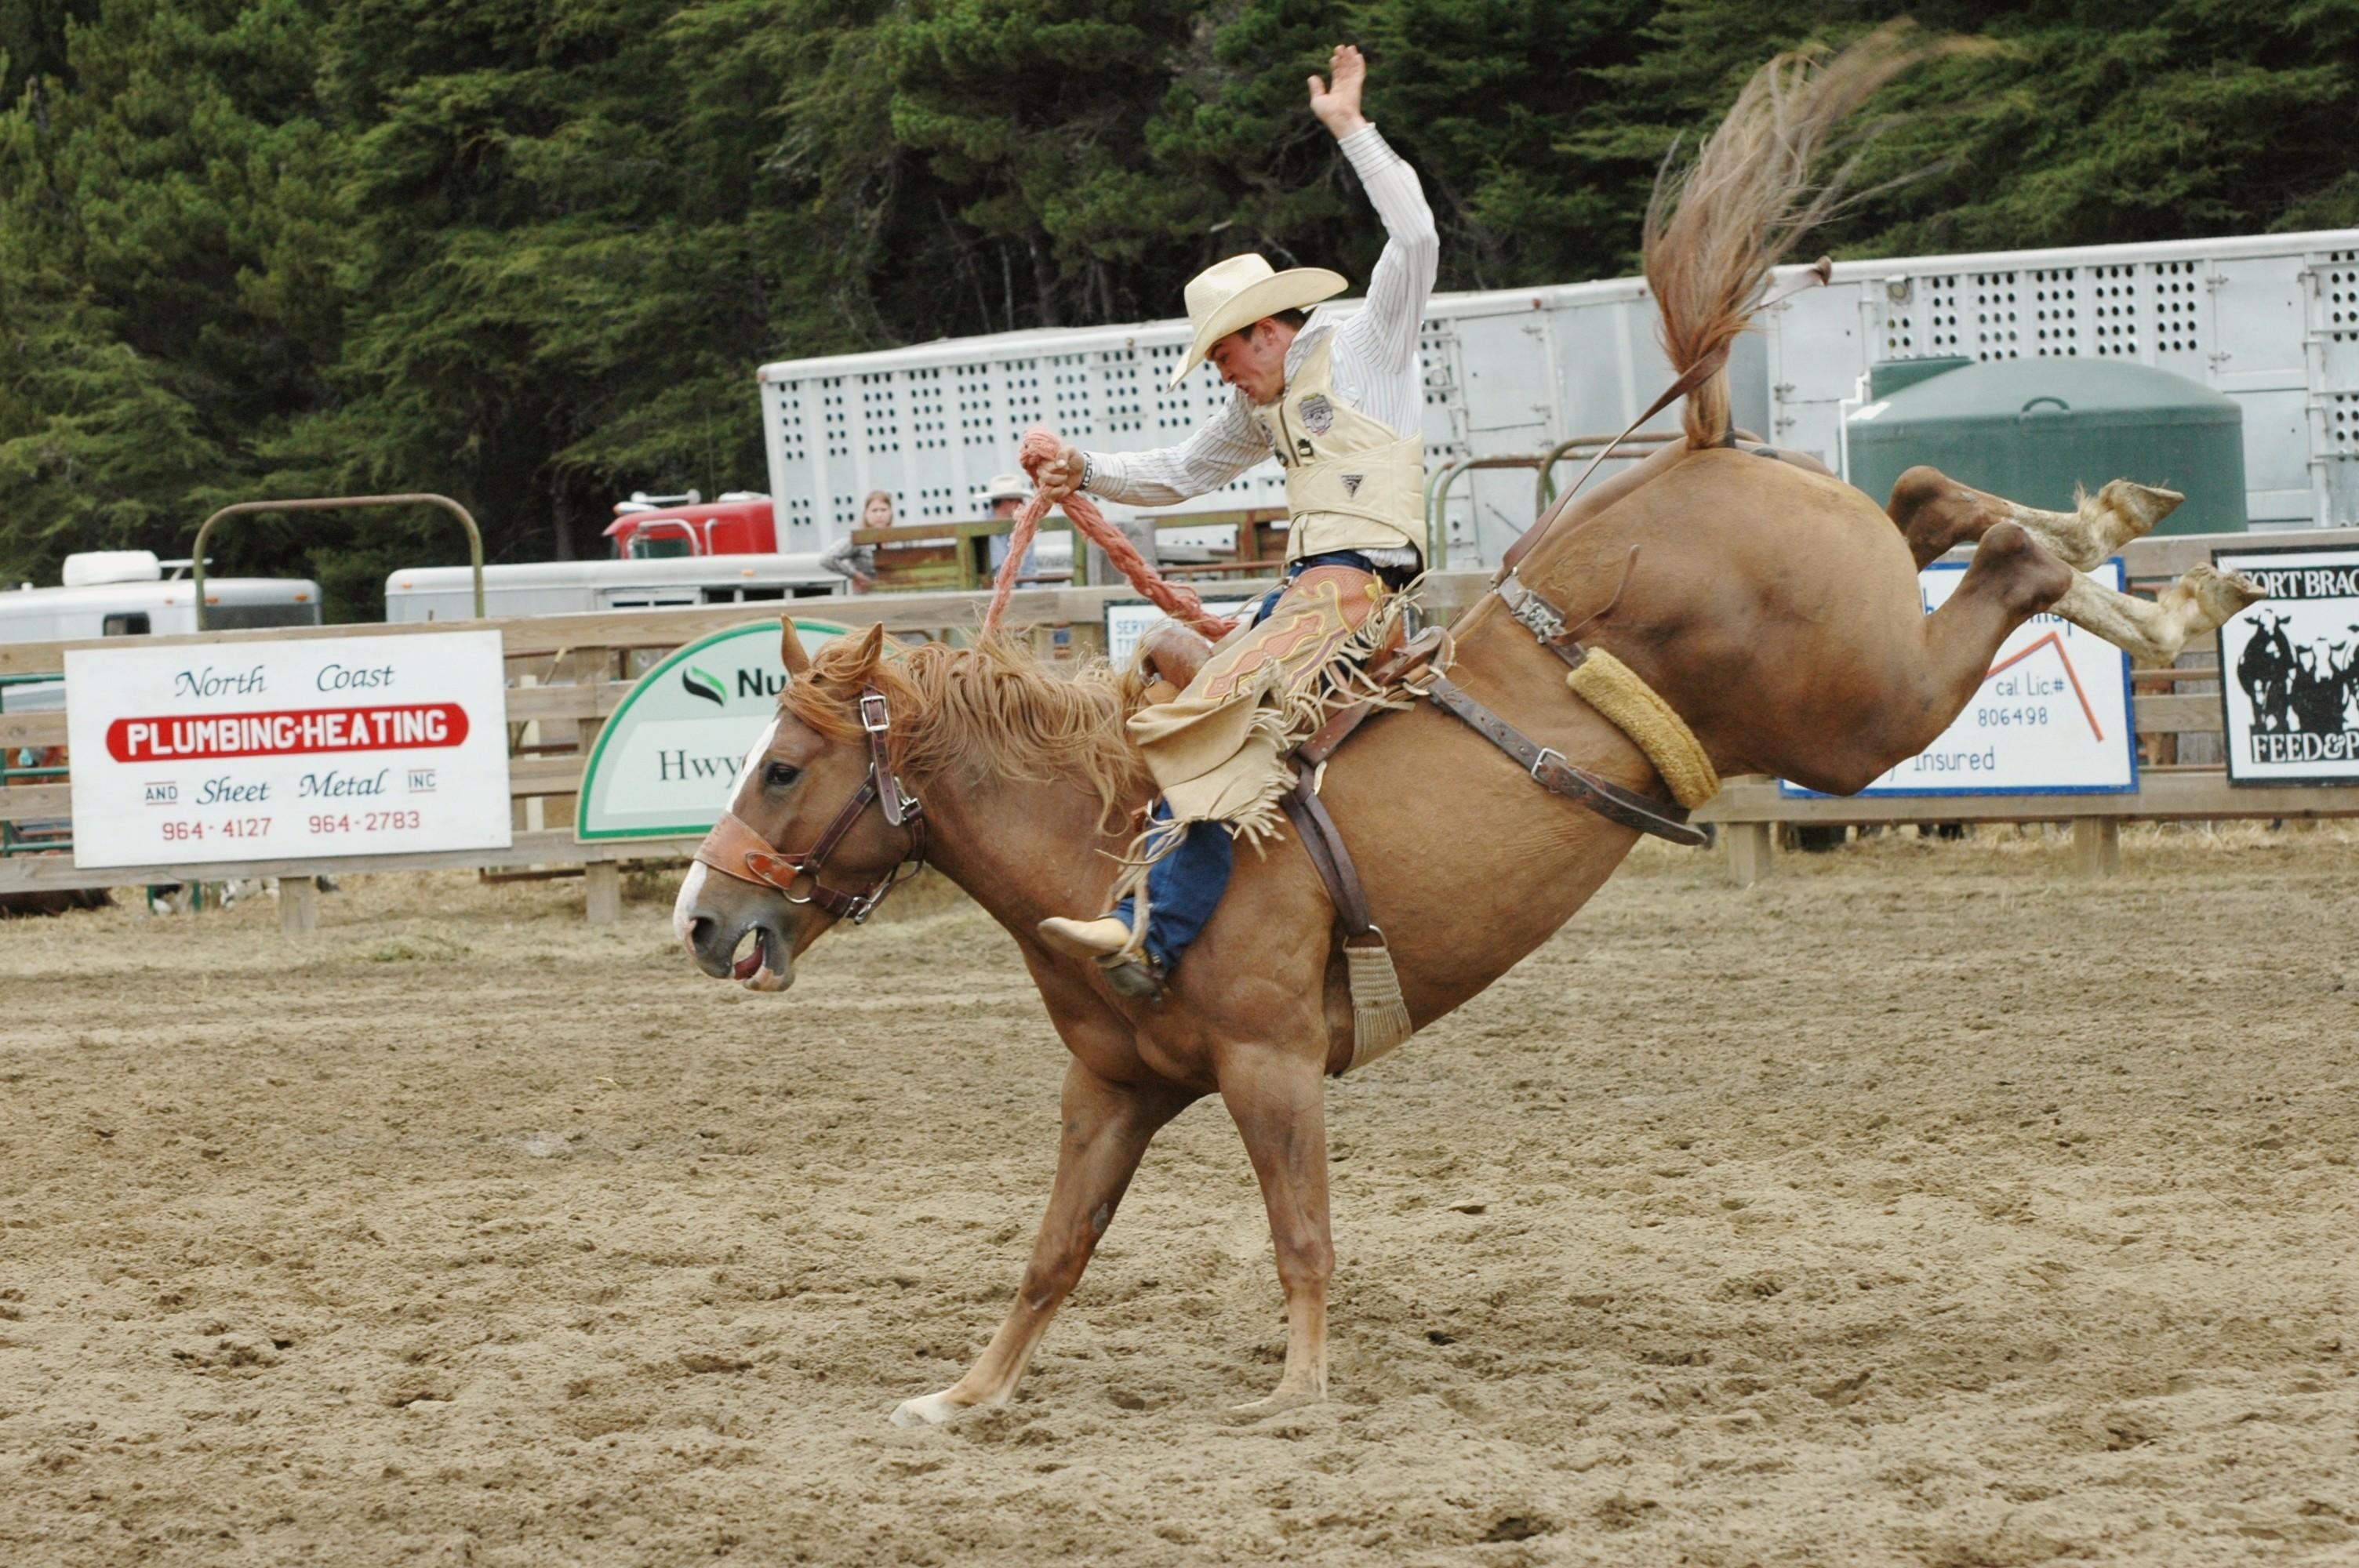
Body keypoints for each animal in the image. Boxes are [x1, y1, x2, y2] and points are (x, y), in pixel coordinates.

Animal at [670, 39, 2264, 1433]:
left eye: (786, 767)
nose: (699, 918)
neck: (1108, 841)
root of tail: (1691, 444)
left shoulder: (1268, 1062)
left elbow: (1299, 1230)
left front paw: (1298, 1394)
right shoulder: (1111, 1088)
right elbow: (1054, 1249)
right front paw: (966, 1398)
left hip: (1855, 712)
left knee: (2001, 564)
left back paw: (2157, 578)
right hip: (1859, 648)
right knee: (1939, 501)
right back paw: (2142, 550)